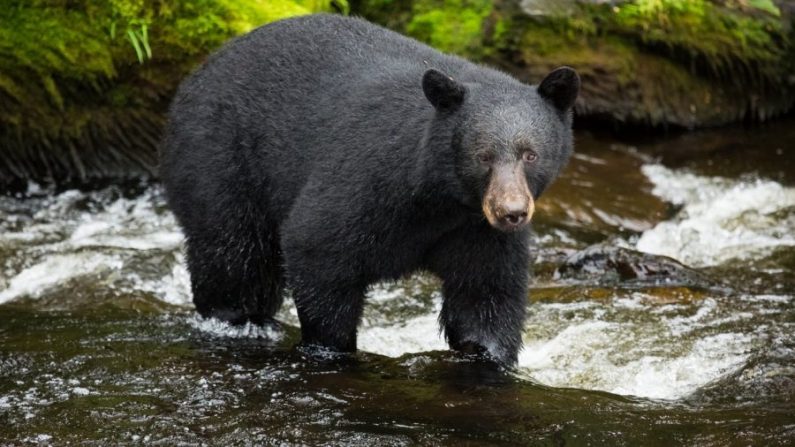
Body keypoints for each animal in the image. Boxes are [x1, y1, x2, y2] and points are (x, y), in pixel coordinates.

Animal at [162, 14, 580, 366]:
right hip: (220, 160)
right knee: (233, 255)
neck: (439, 198)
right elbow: (317, 245)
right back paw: (238, 319)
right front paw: (332, 347)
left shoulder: (475, 230)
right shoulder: (366, 180)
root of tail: (198, 72)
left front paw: (489, 355)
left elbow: (484, 295)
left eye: (530, 154)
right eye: (483, 156)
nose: (511, 212)